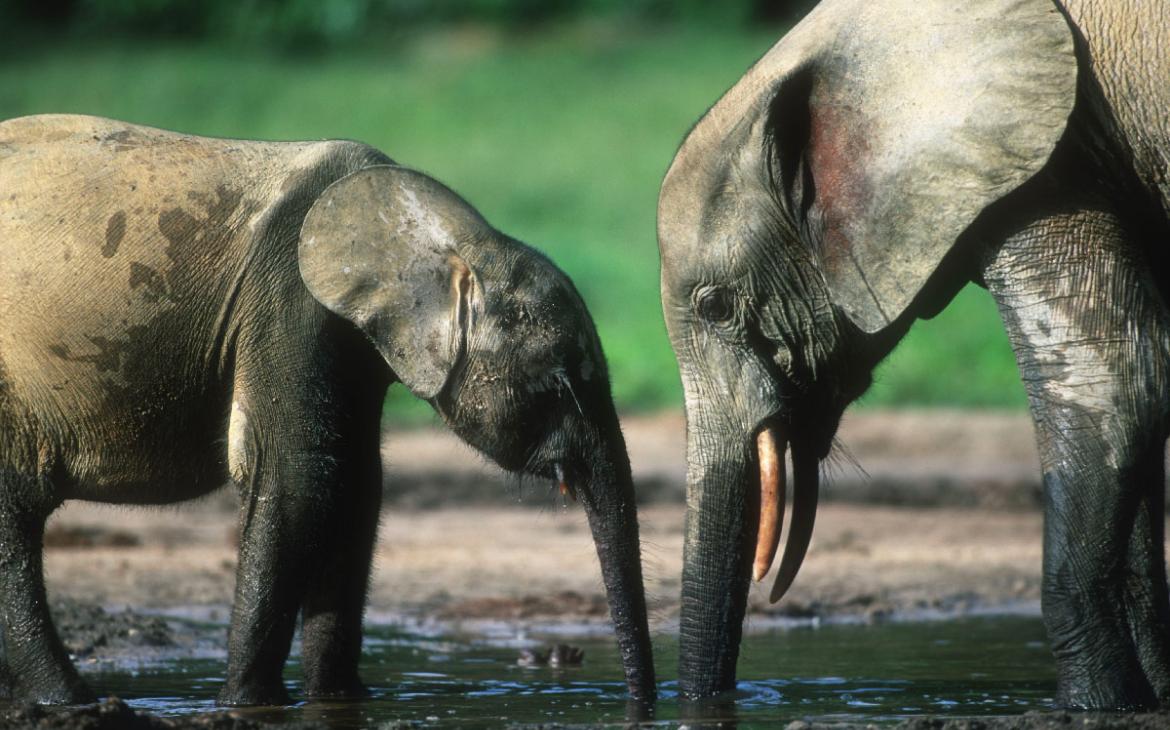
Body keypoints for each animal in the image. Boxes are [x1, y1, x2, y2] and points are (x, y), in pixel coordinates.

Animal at [0, 115, 659, 706]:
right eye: (561, 382)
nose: (643, 702)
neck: (449, 234)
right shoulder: (287, 304)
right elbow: (302, 482)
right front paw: (250, 705)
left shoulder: (351, 341)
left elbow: (358, 489)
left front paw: (341, 699)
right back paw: (76, 702)